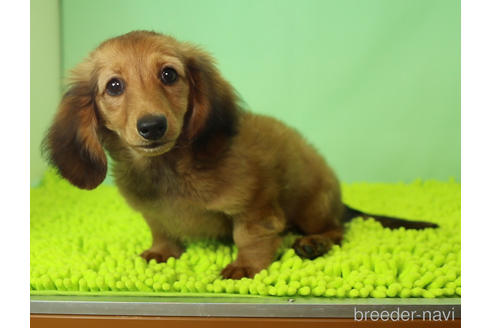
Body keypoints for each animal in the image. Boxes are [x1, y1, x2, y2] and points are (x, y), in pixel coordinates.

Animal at [43, 30, 438, 278]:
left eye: (169, 75)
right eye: (114, 86)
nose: (152, 126)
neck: (169, 170)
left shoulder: (255, 206)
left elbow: (248, 236)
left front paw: (246, 266)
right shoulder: (152, 213)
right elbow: (162, 230)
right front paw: (162, 252)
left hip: (311, 205)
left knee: (338, 229)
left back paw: (315, 243)